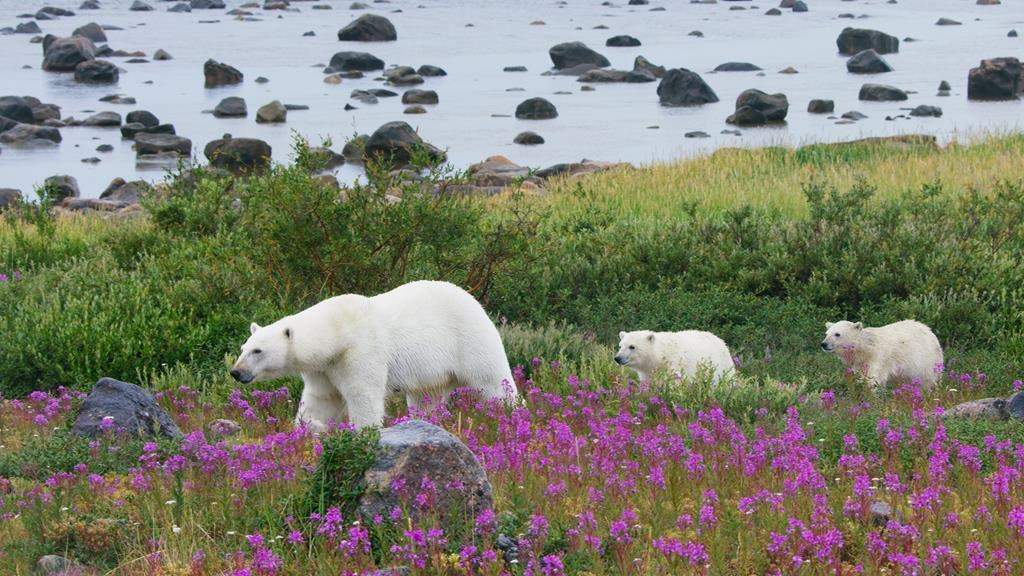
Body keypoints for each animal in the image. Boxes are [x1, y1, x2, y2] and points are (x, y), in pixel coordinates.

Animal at [230, 280, 518, 431]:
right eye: (243, 348)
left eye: (258, 350)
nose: (236, 372)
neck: (337, 330)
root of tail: (473, 300)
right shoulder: (323, 368)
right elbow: (321, 399)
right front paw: (309, 427)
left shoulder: (359, 351)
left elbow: (363, 394)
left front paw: (364, 433)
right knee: (427, 397)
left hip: (469, 339)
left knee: (493, 381)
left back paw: (514, 412)